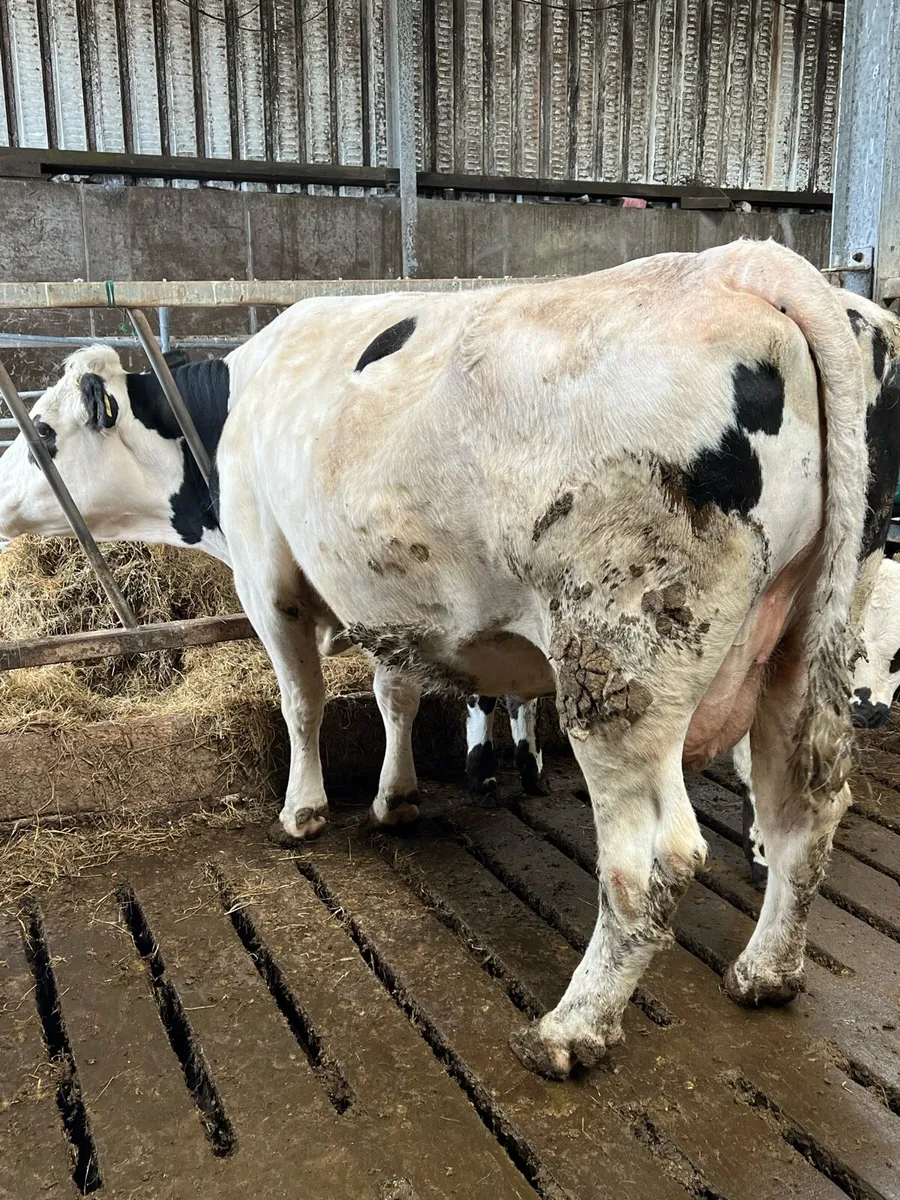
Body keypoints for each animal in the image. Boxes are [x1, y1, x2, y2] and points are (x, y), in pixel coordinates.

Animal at [1, 239, 898, 1082]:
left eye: (41, 429)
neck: (231, 417)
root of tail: (741, 263)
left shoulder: (269, 581)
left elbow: (302, 701)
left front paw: (303, 810)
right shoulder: (395, 598)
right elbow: (394, 691)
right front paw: (395, 796)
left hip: (619, 664)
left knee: (654, 859)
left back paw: (571, 1028)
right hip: (805, 636)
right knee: (808, 804)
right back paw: (766, 971)